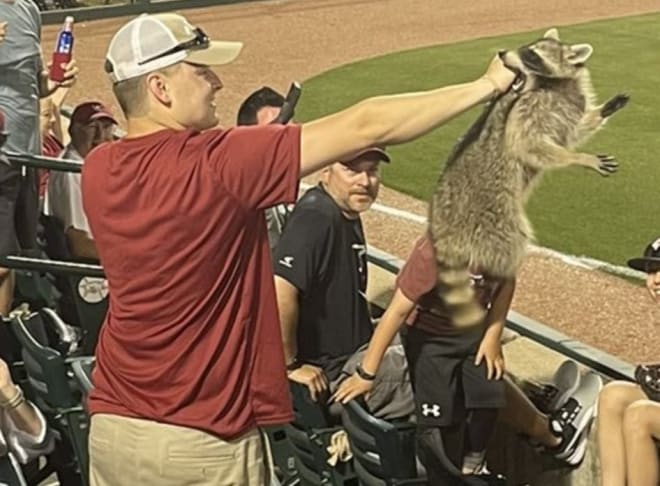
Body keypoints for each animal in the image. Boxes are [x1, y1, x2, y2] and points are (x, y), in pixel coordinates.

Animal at [430, 29, 632, 326]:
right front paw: (580, 158)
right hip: (494, 215)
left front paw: (604, 109)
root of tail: (441, 226)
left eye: (530, 54)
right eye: (527, 47)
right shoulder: (529, 107)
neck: (555, 84)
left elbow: (573, 132)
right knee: (510, 241)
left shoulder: (562, 105)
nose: (502, 53)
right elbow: (527, 144)